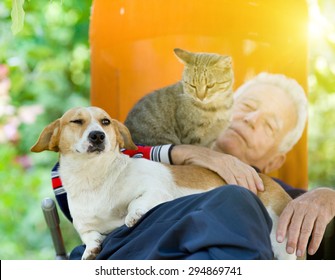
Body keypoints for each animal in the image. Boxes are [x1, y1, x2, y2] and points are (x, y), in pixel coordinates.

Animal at [31, 106, 296, 260]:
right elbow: (88, 235)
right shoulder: (84, 224)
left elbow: (134, 203)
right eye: (76, 121)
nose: (98, 136)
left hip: (282, 245)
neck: (95, 177)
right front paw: (92, 248)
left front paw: (133, 215)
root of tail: (265, 177)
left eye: (105, 122)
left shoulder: (155, 189)